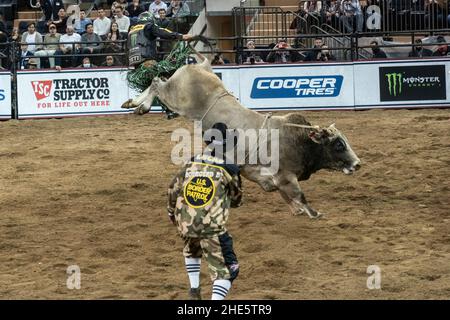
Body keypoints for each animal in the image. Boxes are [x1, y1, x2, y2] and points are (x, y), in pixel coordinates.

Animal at [123, 53, 362, 219]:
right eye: (338, 144)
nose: (358, 164)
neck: (298, 140)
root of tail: (200, 66)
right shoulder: (285, 176)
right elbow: (299, 195)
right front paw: (314, 213)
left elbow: (288, 198)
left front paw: (298, 211)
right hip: (175, 97)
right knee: (156, 82)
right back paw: (138, 104)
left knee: (157, 81)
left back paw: (136, 105)